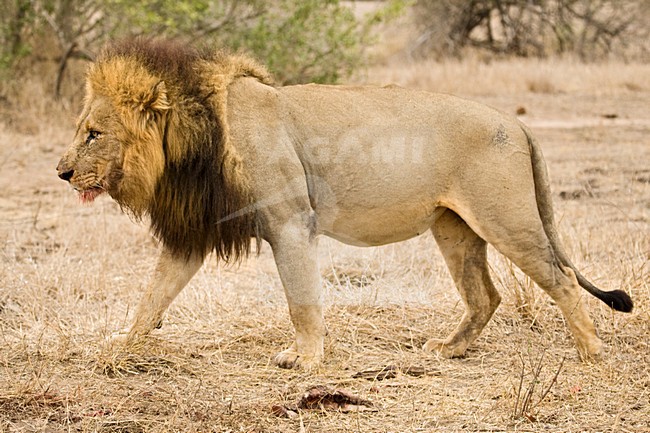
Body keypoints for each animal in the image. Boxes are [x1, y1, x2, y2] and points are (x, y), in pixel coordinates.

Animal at [57, 38, 633, 370]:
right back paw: (449, 349)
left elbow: (302, 302)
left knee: (560, 278)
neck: (189, 145)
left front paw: (307, 360)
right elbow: (152, 296)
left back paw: (591, 353)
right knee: (484, 295)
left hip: (505, 219)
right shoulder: (194, 234)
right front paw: (120, 347)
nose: (61, 172)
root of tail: (516, 122)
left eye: (94, 134)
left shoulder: (291, 224)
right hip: (454, 227)